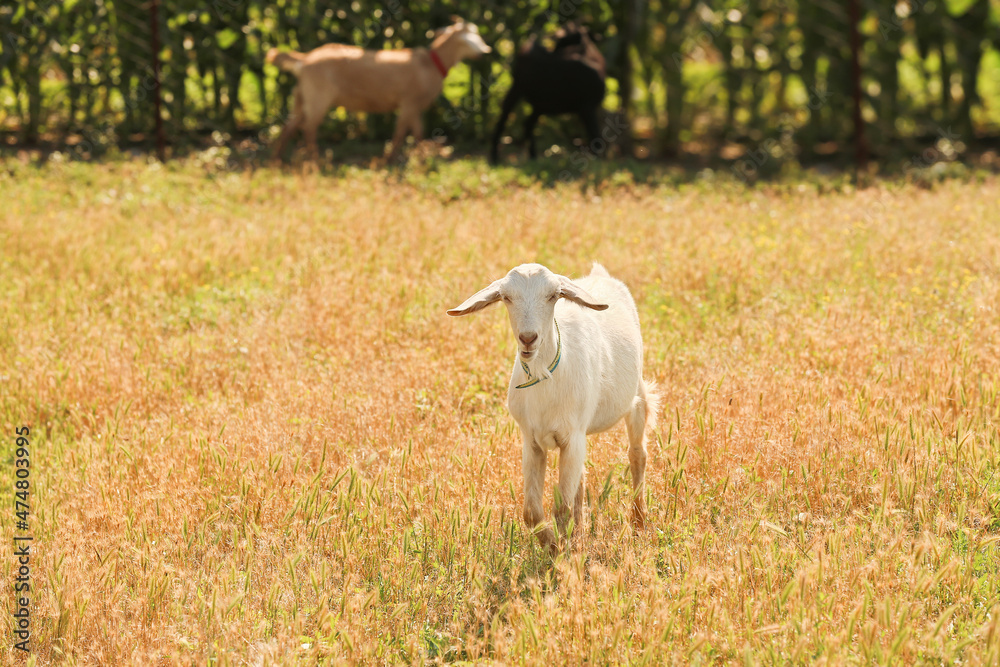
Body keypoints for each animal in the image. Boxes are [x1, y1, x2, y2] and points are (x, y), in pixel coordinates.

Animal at [268, 18, 490, 162]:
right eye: (469, 37)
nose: (486, 52)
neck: (430, 63)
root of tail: (305, 59)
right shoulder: (408, 102)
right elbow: (401, 133)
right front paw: (389, 159)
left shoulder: (415, 106)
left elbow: (417, 132)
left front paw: (422, 155)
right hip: (318, 96)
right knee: (309, 127)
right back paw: (314, 159)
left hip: (301, 96)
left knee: (290, 126)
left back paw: (278, 160)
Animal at [450, 264, 660, 552]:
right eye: (506, 297)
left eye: (553, 295)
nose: (528, 338)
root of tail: (600, 274)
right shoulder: (532, 441)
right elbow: (531, 511)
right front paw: (555, 546)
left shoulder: (571, 437)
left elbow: (561, 509)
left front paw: (564, 553)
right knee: (581, 479)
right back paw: (581, 532)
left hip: (637, 398)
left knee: (637, 454)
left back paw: (638, 524)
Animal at [488, 27, 604, 166]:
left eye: (564, 41)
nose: (553, 51)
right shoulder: (587, 107)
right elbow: (595, 135)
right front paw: (597, 161)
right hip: (517, 88)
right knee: (505, 115)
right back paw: (494, 156)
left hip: (540, 105)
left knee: (527, 124)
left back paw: (533, 156)